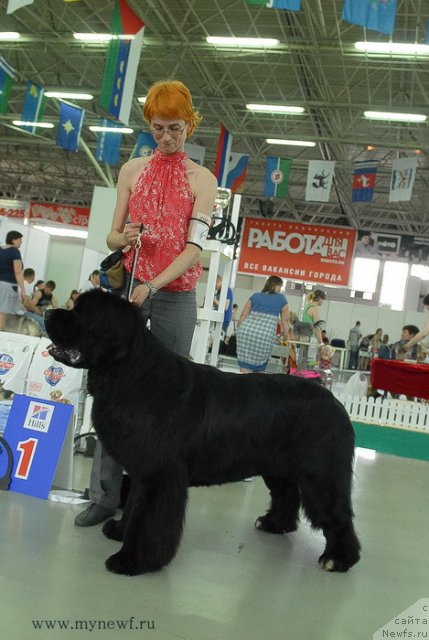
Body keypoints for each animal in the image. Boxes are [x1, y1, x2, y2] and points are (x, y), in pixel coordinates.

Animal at [46, 290, 362, 576]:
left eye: (80, 313)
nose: (48, 313)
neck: (132, 375)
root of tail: (335, 402)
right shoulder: (141, 470)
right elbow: (135, 505)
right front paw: (120, 532)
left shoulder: (160, 475)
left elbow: (149, 519)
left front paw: (132, 561)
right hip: (279, 468)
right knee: (286, 495)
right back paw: (273, 524)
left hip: (320, 474)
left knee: (336, 512)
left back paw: (338, 558)